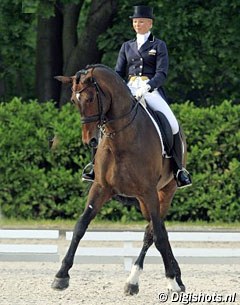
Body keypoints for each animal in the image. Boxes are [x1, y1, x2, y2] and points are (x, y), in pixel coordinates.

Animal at [51, 63, 187, 294]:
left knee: (153, 231)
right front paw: (61, 275)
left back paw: (139, 279)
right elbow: (80, 226)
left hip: (165, 191)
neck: (121, 138)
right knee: (157, 227)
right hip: (143, 201)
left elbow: (157, 236)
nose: (90, 140)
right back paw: (170, 276)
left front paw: (170, 280)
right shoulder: (100, 187)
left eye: (90, 98)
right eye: (73, 101)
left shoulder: (149, 191)